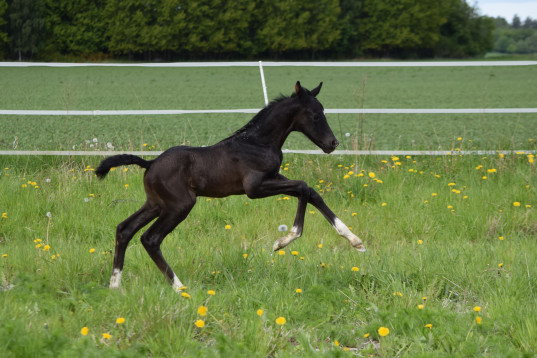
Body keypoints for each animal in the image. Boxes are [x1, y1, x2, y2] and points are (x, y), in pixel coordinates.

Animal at [96, 82, 364, 292]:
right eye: (316, 115)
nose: (332, 143)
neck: (257, 142)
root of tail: (149, 163)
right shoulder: (255, 188)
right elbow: (303, 186)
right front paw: (285, 240)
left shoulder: (273, 177)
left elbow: (309, 192)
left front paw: (353, 239)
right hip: (179, 206)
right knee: (150, 239)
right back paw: (179, 287)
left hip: (154, 204)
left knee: (125, 229)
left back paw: (115, 285)